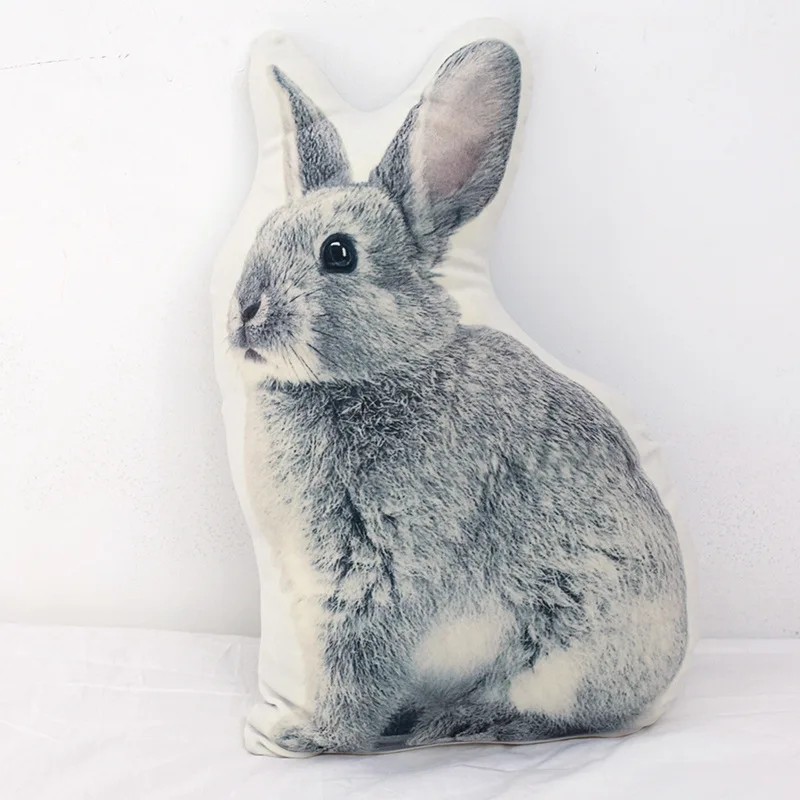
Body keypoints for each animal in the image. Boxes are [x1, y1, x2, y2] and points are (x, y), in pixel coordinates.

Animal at [228, 39, 688, 756]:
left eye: (339, 253)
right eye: (267, 228)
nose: (244, 310)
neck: (381, 370)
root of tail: (663, 674)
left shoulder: (380, 569)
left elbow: (357, 669)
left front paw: (310, 736)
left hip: (563, 653)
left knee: (565, 718)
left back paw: (463, 721)